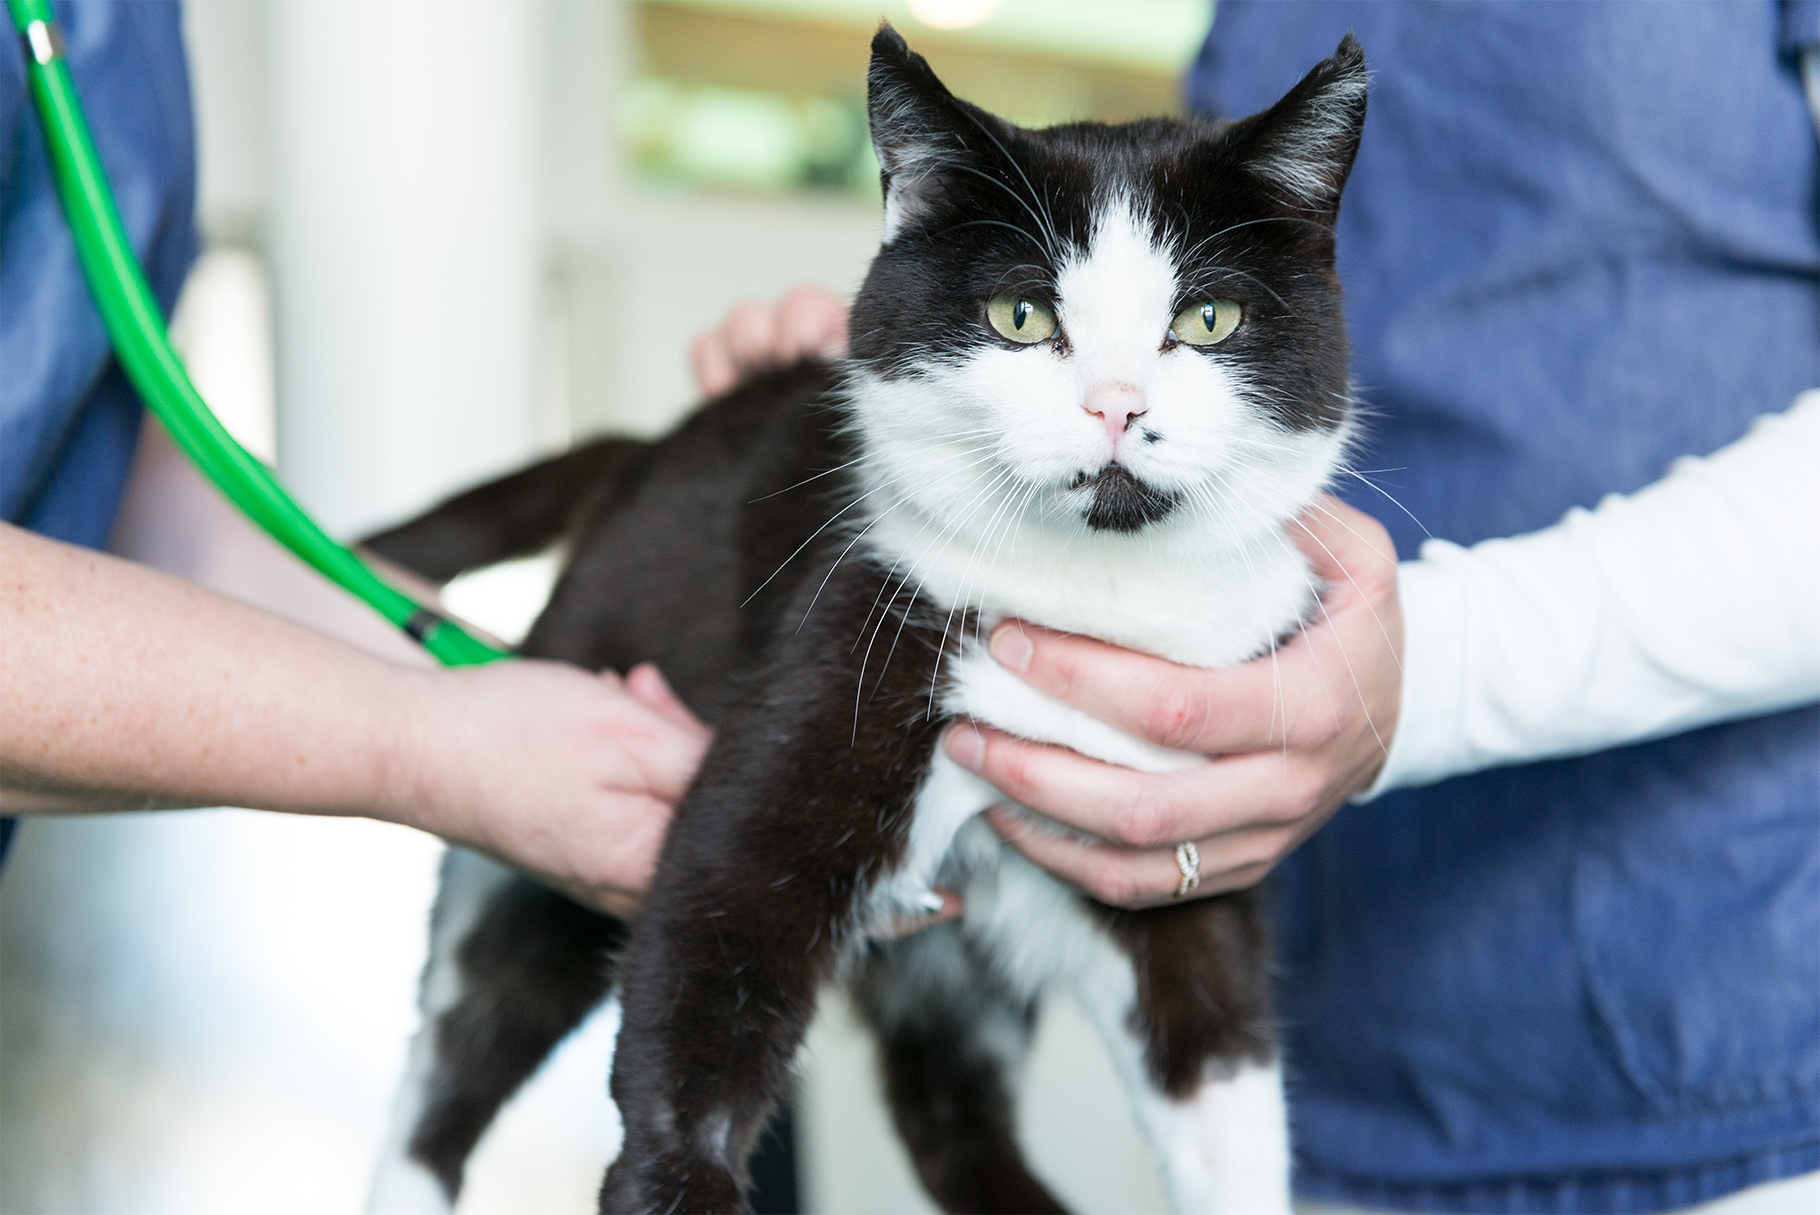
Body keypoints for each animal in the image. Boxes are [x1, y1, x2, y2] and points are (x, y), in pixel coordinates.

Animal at [362, 24, 1365, 1215]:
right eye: (1020, 316)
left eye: (1207, 319)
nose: (1117, 404)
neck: (1096, 593)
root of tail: (641, 451)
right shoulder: (850, 631)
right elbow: (709, 954)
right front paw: (678, 1177)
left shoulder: (1179, 834)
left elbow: (1217, 1050)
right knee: (463, 1040)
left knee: (947, 1104)